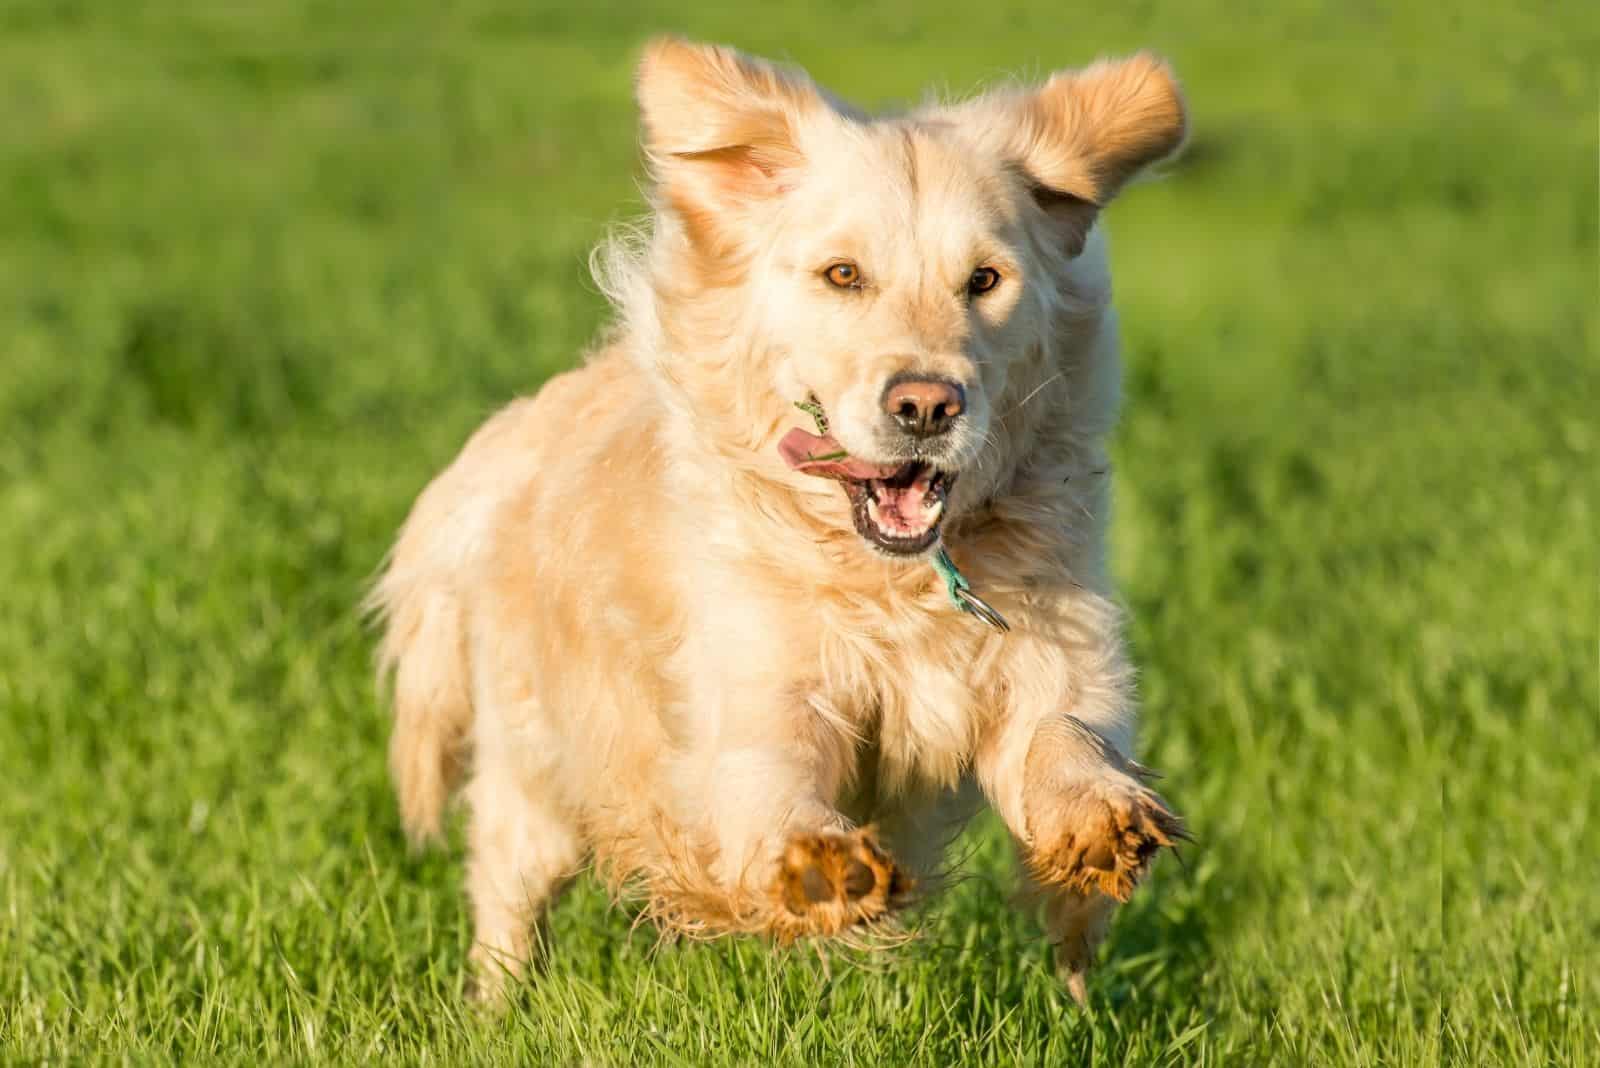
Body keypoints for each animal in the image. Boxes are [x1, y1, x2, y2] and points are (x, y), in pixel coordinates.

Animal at [366, 35, 1190, 1004]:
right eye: (844, 275)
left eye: (985, 280)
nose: (926, 405)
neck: (894, 580)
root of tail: (510, 436)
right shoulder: (756, 691)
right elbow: (776, 777)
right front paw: (824, 865)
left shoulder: (1054, 654)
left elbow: (1063, 733)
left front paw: (1097, 819)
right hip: (533, 775)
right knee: (505, 899)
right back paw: (494, 1009)